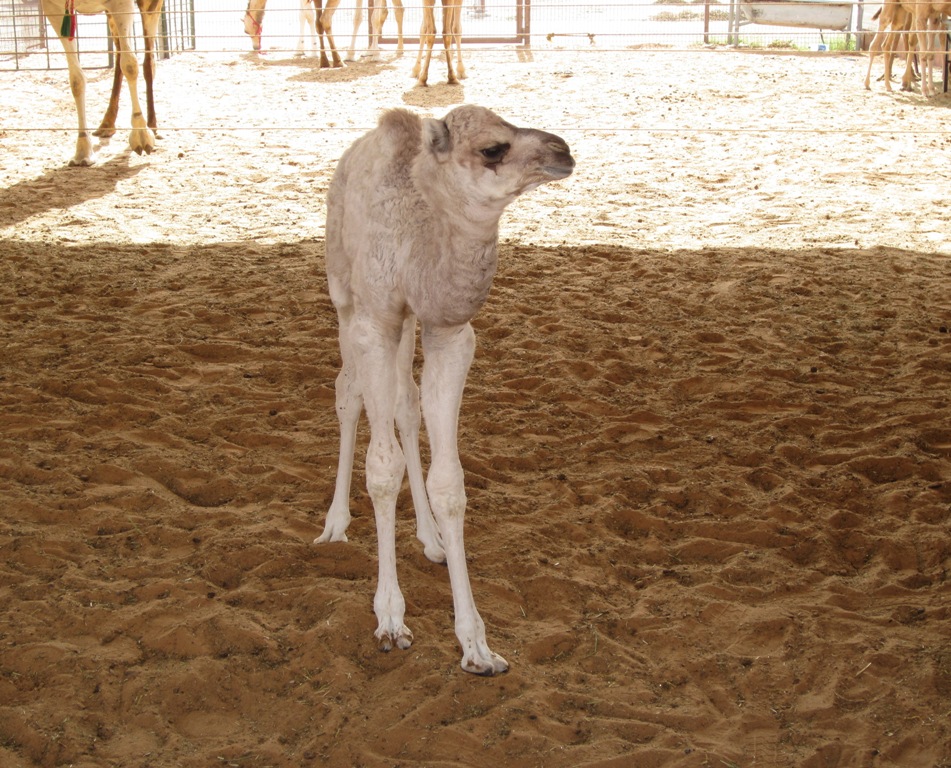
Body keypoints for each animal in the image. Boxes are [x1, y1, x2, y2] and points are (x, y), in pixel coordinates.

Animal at [316, 106, 576, 672]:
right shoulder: (374, 322)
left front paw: (477, 646)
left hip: (406, 325)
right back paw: (334, 527)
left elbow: (450, 482)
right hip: (343, 292)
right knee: (348, 394)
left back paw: (430, 539)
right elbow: (381, 468)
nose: (564, 151)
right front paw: (390, 620)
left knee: (404, 404)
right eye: (493, 148)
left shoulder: (449, 332)